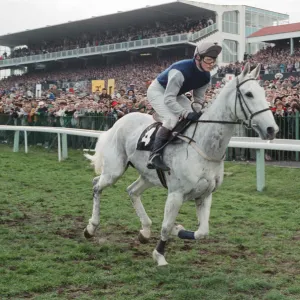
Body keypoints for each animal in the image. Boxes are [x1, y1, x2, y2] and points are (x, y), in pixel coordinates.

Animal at [82, 62, 278, 264]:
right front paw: (160, 255)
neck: (204, 146)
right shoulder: (176, 194)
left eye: (263, 92)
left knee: (132, 191)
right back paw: (91, 227)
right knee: (97, 185)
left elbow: (202, 232)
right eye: (249, 94)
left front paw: (178, 230)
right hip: (114, 170)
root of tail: (118, 122)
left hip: (148, 176)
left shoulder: (205, 195)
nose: (272, 129)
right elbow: (166, 226)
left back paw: (145, 230)